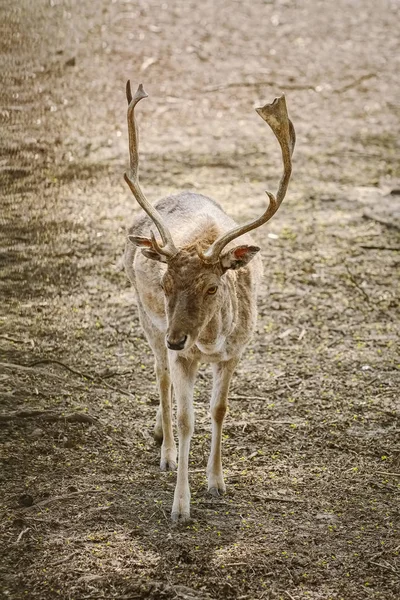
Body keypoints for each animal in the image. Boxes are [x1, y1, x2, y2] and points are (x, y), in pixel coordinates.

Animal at [123, 82, 296, 524]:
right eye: (165, 282)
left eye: (213, 288)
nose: (178, 339)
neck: (208, 339)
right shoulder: (180, 351)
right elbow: (187, 419)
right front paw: (180, 506)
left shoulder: (235, 352)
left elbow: (219, 411)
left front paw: (217, 483)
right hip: (147, 320)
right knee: (161, 376)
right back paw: (165, 449)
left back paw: (158, 431)